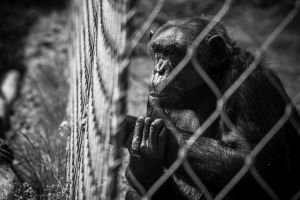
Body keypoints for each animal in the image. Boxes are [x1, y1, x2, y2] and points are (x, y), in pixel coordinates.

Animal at [122, 16, 300, 200]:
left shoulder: (248, 83)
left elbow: (255, 161)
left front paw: (132, 127)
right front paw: (143, 162)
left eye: (174, 52)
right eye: (158, 51)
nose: (159, 70)